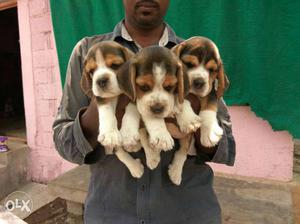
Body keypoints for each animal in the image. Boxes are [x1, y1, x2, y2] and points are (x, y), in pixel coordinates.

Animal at [81, 40, 144, 178]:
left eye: (115, 65)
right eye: (92, 71)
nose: (100, 81)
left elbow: (131, 109)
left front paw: (128, 133)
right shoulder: (100, 97)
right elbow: (106, 111)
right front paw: (109, 133)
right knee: (119, 151)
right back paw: (135, 167)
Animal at [169, 36, 230, 185]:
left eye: (212, 70)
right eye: (188, 64)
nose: (199, 82)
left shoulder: (210, 93)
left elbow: (209, 109)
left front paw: (209, 133)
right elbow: (182, 101)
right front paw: (189, 120)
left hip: (187, 137)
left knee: (182, 152)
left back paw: (175, 172)